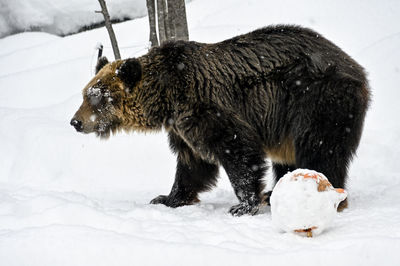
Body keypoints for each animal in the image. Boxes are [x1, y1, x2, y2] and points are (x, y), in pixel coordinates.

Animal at [71, 25, 368, 216]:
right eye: (85, 93)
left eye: (96, 97)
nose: (75, 122)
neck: (167, 98)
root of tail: (356, 67)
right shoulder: (182, 128)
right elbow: (192, 165)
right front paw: (167, 198)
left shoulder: (208, 108)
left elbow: (238, 151)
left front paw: (243, 204)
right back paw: (276, 193)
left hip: (315, 102)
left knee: (320, 149)